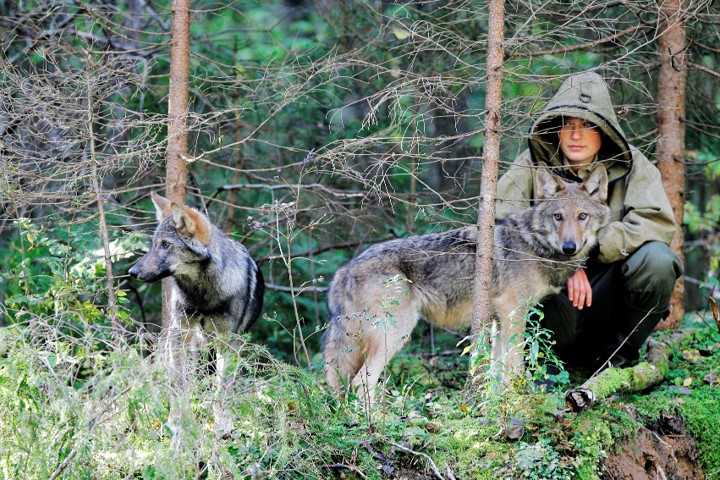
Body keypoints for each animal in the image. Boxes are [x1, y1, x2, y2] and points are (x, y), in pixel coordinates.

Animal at [324, 161, 612, 402]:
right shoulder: (513, 311)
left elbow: (496, 370)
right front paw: (517, 401)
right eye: (558, 217)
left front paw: (495, 403)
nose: (569, 247)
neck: (534, 244)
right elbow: (514, 365)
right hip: (397, 332)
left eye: (582, 216)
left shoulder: (498, 319)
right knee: (361, 382)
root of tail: (343, 271)